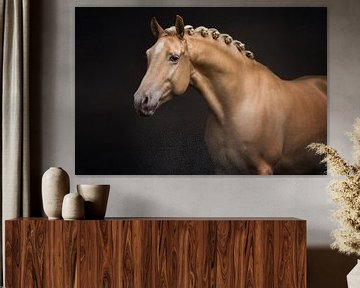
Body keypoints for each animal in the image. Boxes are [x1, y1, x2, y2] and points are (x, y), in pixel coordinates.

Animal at [134, 15, 328, 174]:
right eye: (148, 55)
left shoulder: (263, 169)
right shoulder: (222, 169)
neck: (237, 105)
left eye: (174, 57)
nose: (140, 100)